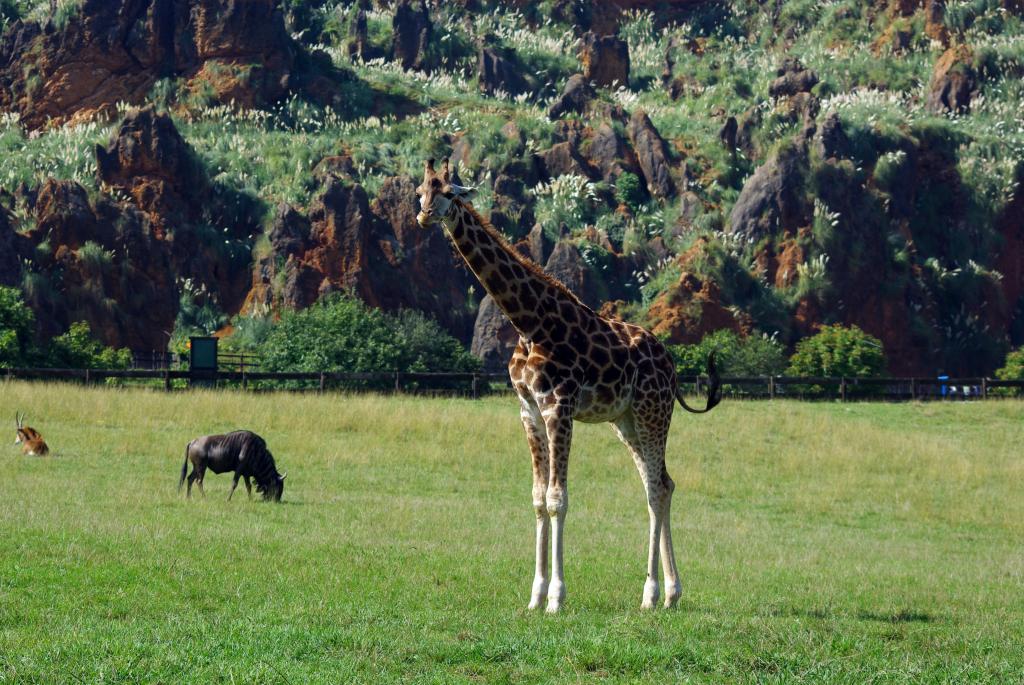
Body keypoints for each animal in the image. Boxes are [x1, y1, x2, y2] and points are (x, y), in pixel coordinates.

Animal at [415, 157, 720, 610]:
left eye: (450, 192)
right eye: (421, 190)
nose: (423, 216)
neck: (528, 323)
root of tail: (671, 364)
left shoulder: (559, 405)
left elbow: (558, 499)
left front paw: (557, 598)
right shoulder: (528, 410)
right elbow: (538, 499)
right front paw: (535, 596)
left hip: (653, 411)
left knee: (655, 487)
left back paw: (650, 594)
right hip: (625, 420)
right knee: (662, 483)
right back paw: (670, 593)